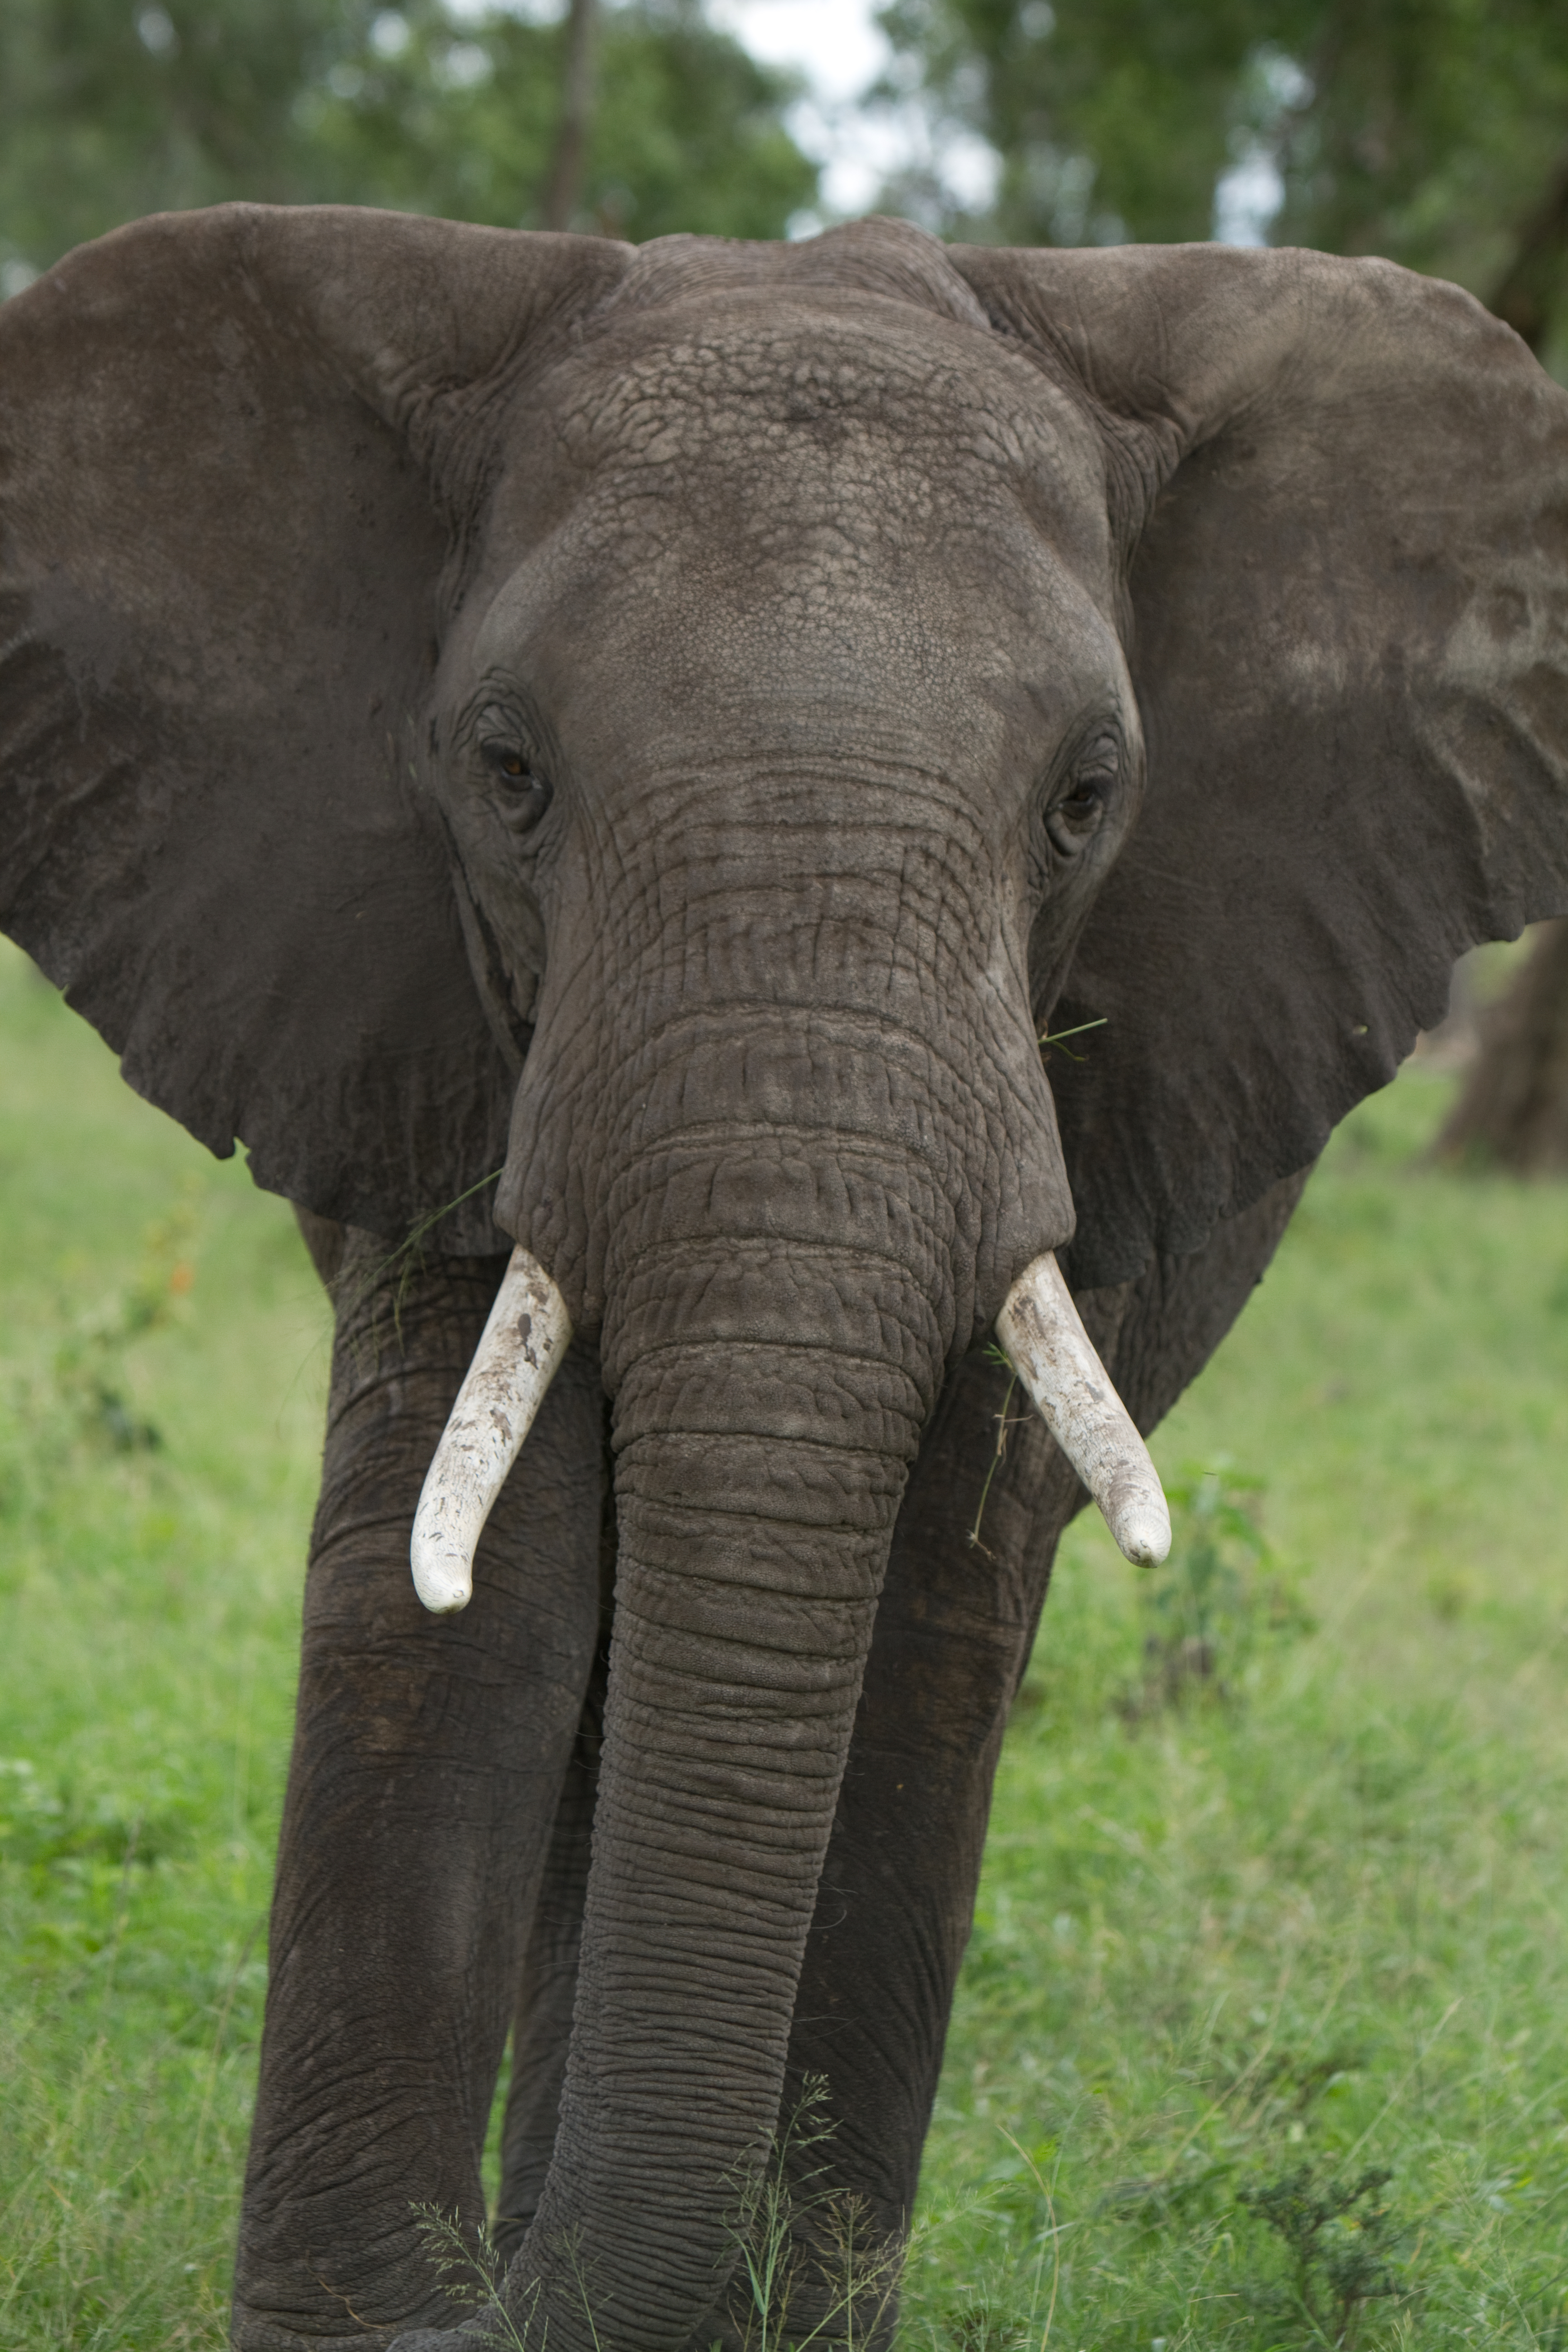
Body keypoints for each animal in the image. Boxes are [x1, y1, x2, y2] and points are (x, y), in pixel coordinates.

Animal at [2, 205, 1567, 2351]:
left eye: (1086, 796)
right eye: (506, 769)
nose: (476, 2304)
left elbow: (916, 1621)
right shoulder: (411, 996)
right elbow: (477, 1589)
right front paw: (372, 2311)